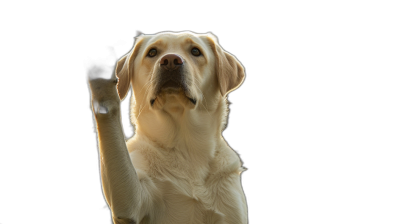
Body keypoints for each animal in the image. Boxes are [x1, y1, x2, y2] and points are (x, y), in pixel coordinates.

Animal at [85, 30, 247, 223]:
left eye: (195, 51)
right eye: (152, 52)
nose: (170, 60)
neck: (186, 147)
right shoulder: (132, 204)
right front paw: (101, 78)